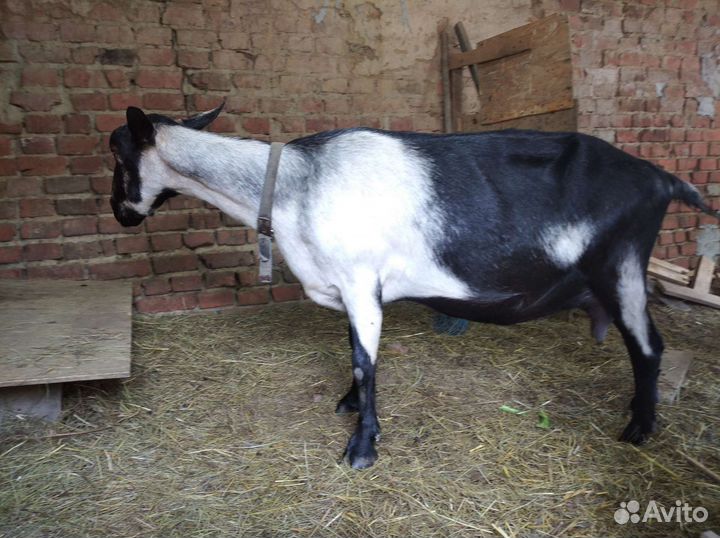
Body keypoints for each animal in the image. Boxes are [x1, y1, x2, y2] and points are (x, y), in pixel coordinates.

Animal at [109, 104, 718, 469]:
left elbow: (365, 361)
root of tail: (661, 179)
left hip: (622, 269)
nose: (120, 213)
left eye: (117, 153)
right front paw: (351, 407)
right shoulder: (352, 289)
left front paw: (362, 447)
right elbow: (354, 352)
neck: (294, 185)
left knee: (649, 348)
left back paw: (639, 429)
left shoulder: (361, 279)